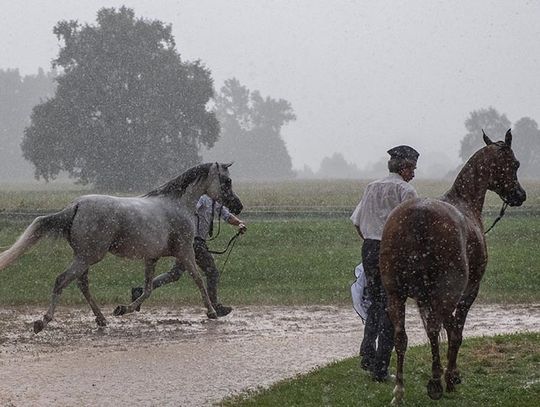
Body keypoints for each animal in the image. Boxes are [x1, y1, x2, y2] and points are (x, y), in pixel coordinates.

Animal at [0, 161, 243, 334]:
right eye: (227, 180)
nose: (238, 206)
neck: (177, 205)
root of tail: (76, 205)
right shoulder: (185, 252)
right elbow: (199, 280)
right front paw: (212, 312)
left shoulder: (151, 257)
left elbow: (148, 289)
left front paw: (124, 309)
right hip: (88, 256)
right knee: (62, 280)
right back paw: (43, 322)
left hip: (84, 257)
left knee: (82, 284)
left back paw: (102, 319)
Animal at [382, 131, 524, 404]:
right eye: (515, 164)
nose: (520, 195)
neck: (463, 202)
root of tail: (418, 214)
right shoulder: (467, 292)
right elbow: (455, 331)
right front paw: (451, 377)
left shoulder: (425, 298)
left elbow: (436, 331)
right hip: (445, 294)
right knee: (442, 328)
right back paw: (437, 382)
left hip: (396, 295)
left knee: (401, 337)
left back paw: (399, 391)